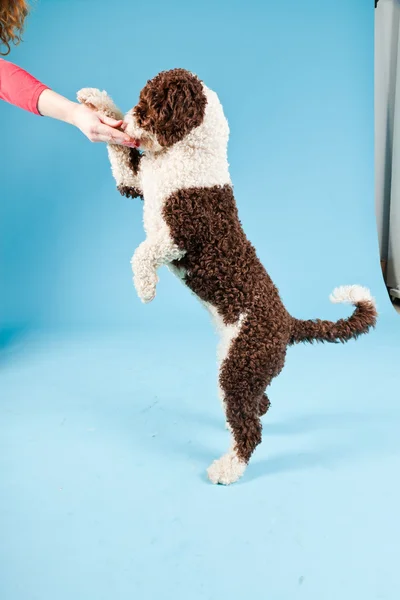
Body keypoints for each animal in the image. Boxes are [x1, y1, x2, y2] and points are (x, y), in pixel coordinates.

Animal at [77, 68, 378, 486]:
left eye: (151, 103)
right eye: (139, 99)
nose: (131, 123)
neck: (188, 153)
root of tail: (287, 322)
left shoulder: (181, 235)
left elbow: (142, 253)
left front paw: (145, 288)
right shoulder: (135, 184)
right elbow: (119, 157)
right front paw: (97, 101)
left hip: (240, 367)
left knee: (250, 428)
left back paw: (228, 467)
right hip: (243, 367)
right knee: (258, 405)